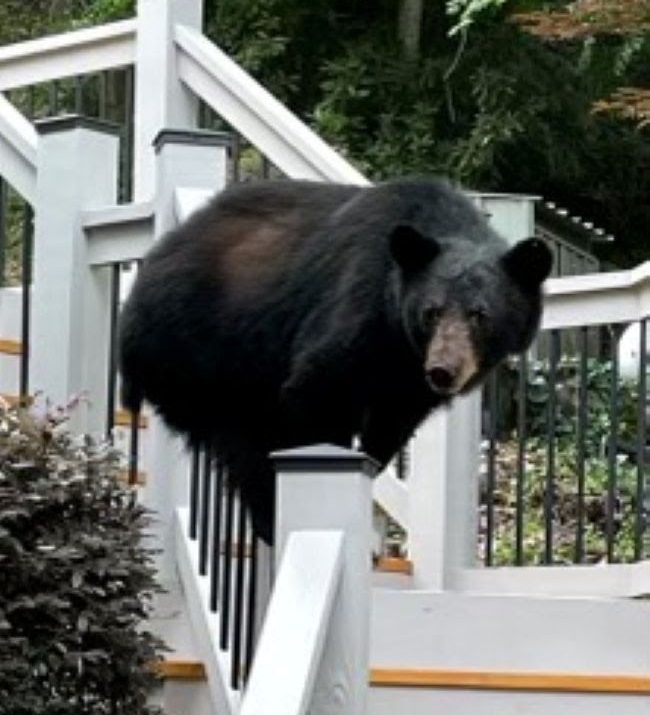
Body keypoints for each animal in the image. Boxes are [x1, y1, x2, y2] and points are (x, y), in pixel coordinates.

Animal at [119, 178, 552, 543]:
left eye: (480, 315)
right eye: (431, 312)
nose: (443, 370)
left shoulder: (407, 385)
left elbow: (388, 428)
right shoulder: (356, 313)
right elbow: (317, 388)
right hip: (202, 353)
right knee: (241, 438)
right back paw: (268, 518)